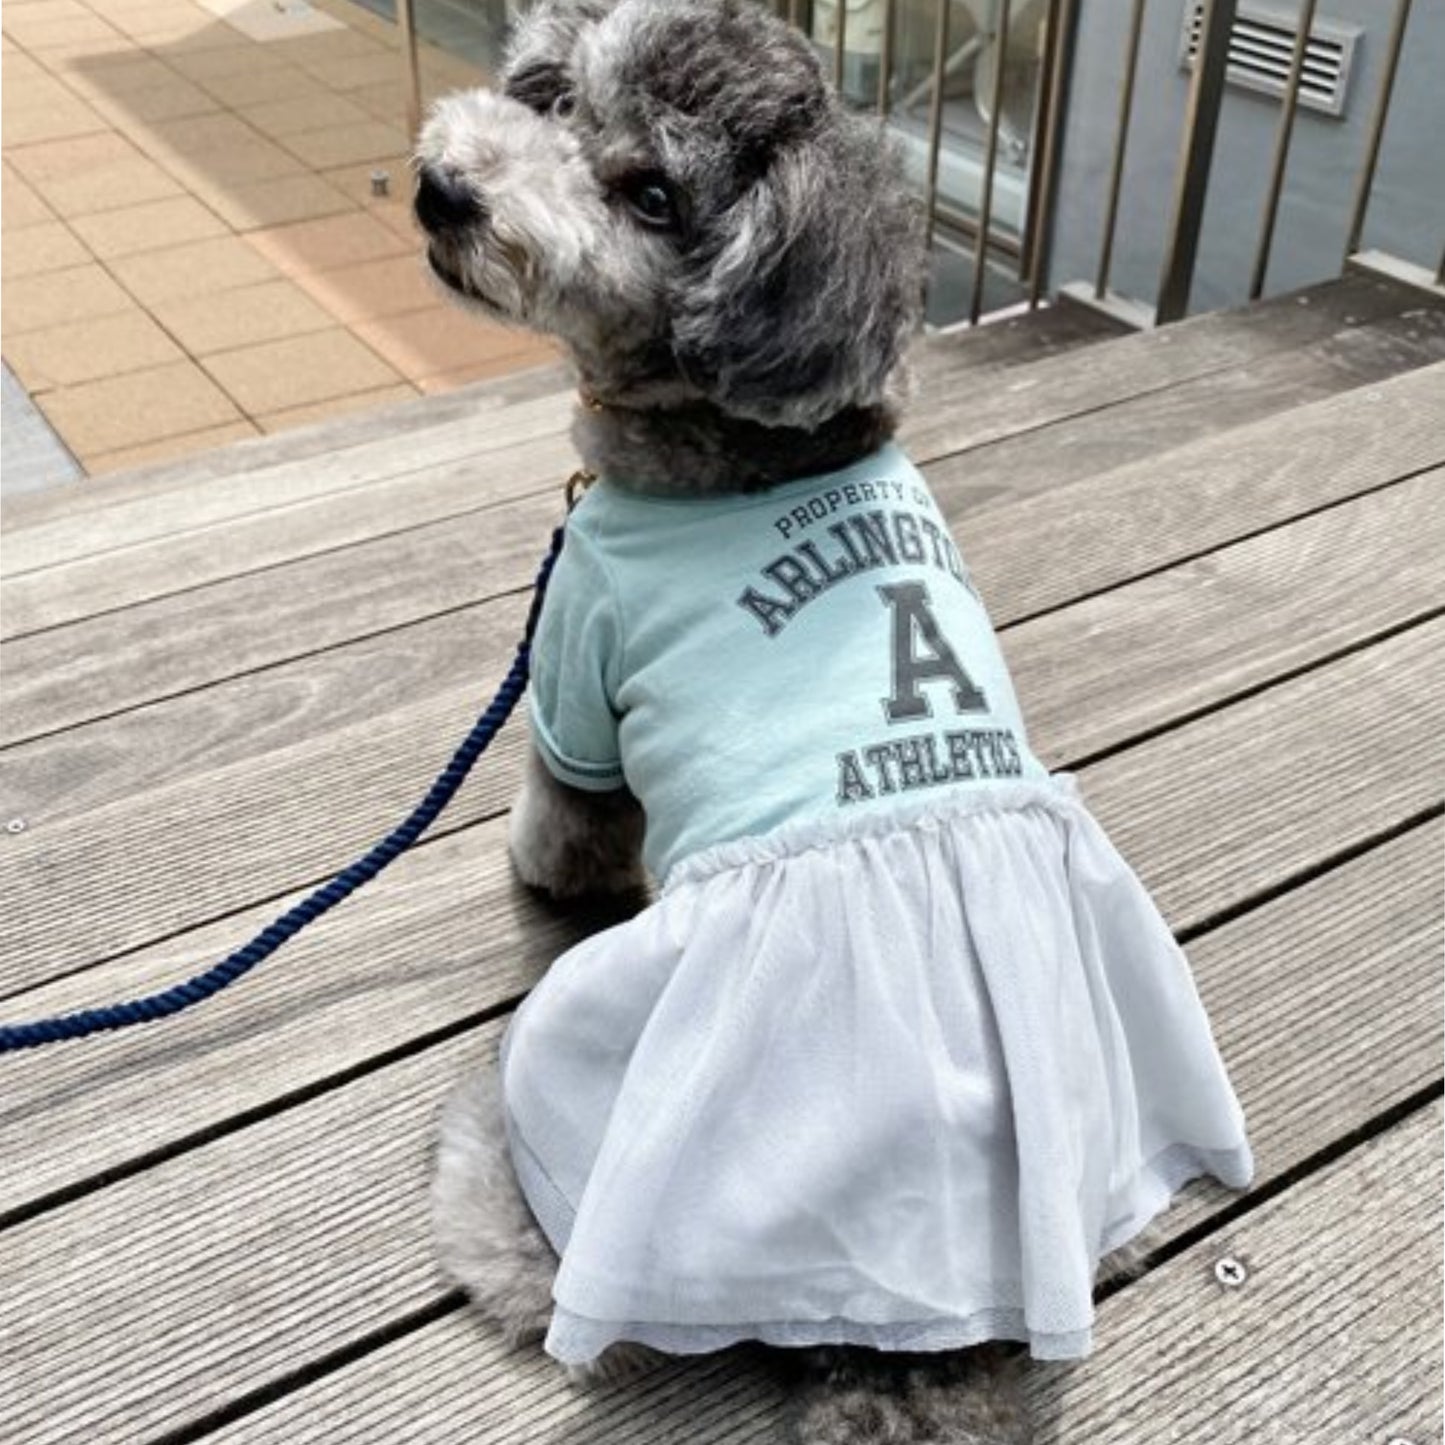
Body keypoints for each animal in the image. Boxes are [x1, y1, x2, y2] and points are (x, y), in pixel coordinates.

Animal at [413, 5, 1248, 1439]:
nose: (445, 191)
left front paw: (524, 859)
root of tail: (916, 1350)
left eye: (652, 196)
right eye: (555, 98)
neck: (743, 440)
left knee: (519, 1233)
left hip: (552, 1119)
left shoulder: (578, 666)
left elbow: (562, 830)